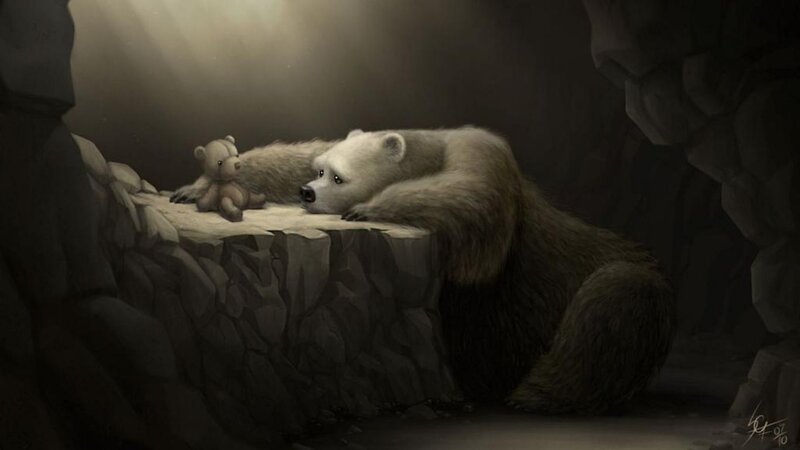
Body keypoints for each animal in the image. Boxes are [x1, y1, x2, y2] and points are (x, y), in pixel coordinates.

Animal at [299, 127, 676, 414]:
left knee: (606, 308)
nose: (306, 192)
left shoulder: (482, 154)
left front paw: (367, 207)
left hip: (622, 288)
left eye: (338, 177)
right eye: (319, 170)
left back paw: (531, 394)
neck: (429, 155)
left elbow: (474, 195)